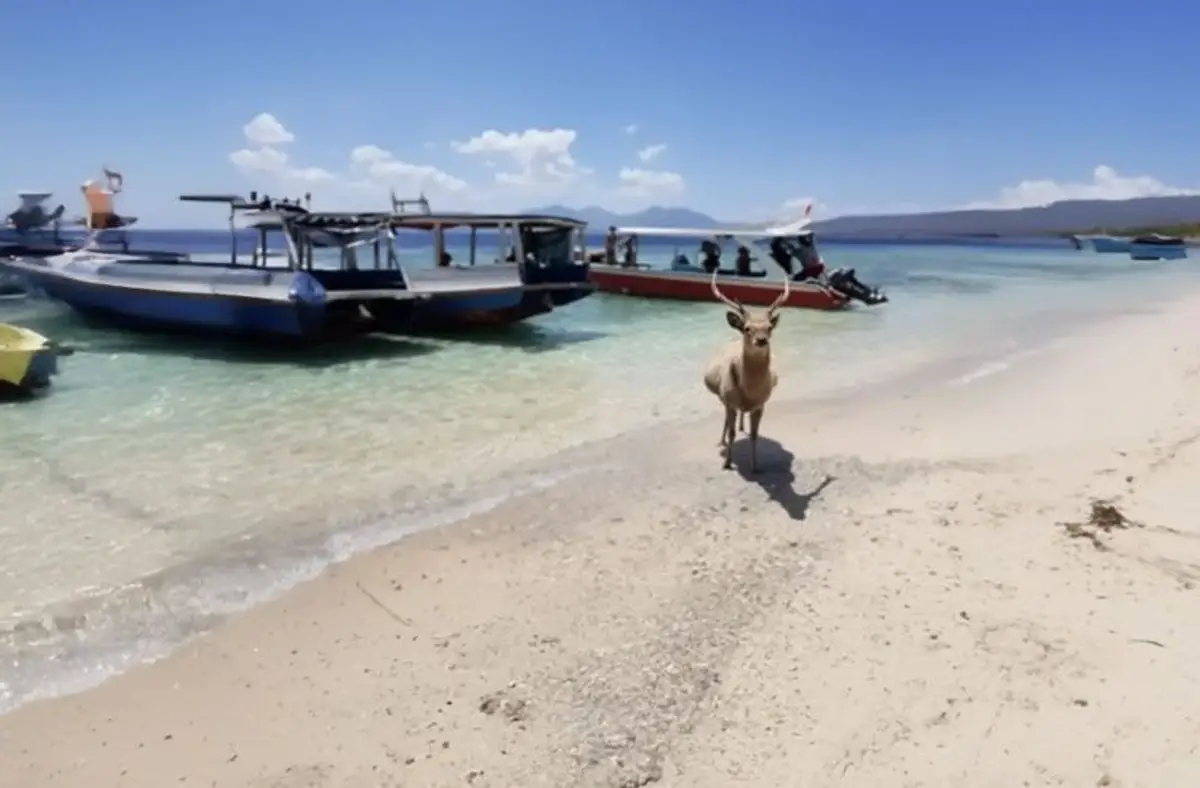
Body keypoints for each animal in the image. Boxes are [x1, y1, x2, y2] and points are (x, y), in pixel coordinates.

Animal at [703, 268, 791, 473]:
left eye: (769, 327)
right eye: (747, 328)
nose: (761, 340)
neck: (749, 392)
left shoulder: (761, 404)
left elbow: (754, 435)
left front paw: (755, 465)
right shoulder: (729, 399)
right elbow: (732, 432)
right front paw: (727, 463)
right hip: (721, 396)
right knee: (727, 420)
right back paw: (721, 441)